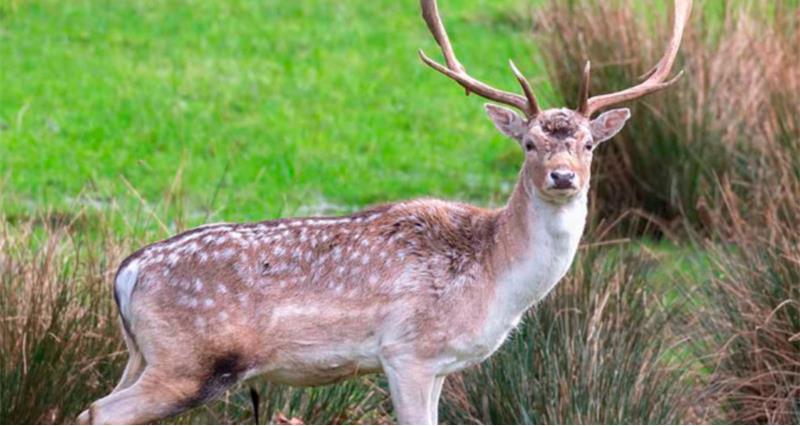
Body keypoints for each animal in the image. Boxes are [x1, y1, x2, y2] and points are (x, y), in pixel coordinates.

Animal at [78, 0, 691, 424]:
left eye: (589, 144)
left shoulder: (440, 365)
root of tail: (126, 272)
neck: (492, 280)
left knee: (91, 405)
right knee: (101, 412)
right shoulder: (406, 351)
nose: (563, 177)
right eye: (529, 144)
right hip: (191, 359)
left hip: (143, 354)